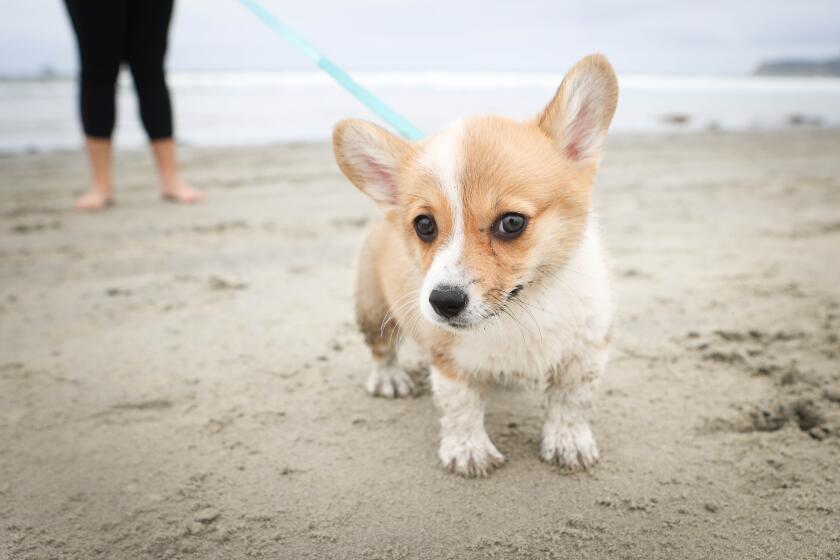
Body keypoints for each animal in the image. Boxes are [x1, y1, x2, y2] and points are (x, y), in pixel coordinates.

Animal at [334, 53, 616, 476]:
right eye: (424, 225)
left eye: (512, 222)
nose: (444, 302)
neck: (524, 307)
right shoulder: (449, 359)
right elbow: (461, 408)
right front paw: (468, 452)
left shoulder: (585, 351)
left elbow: (571, 401)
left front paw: (569, 444)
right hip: (372, 306)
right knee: (381, 347)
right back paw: (389, 380)